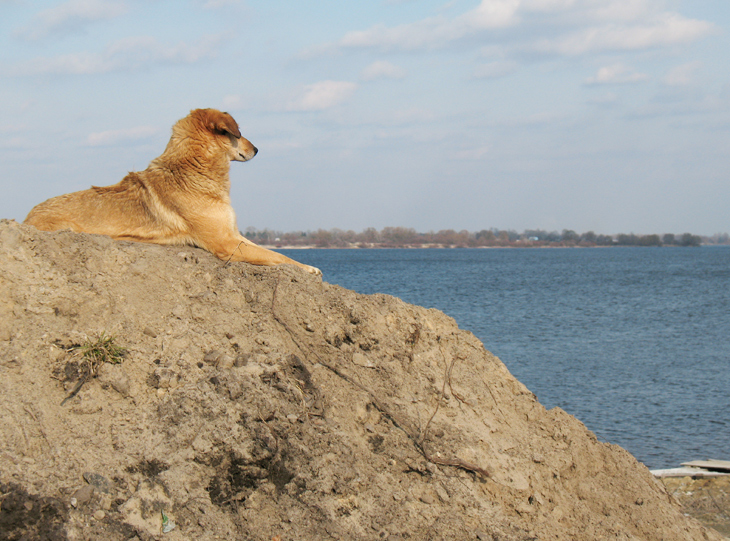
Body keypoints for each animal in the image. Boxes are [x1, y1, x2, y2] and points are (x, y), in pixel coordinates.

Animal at [23, 107, 318, 274]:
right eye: (238, 133)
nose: (257, 149)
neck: (192, 170)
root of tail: (27, 217)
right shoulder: (225, 243)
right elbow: (276, 256)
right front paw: (309, 268)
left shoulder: (233, 235)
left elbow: (276, 252)